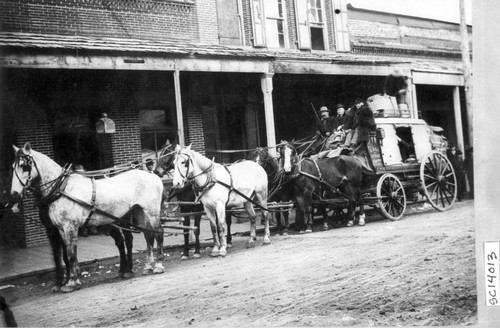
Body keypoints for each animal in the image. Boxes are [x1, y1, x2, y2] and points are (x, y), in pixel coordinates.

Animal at [10, 144, 165, 292]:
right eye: (12, 167)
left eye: (24, 166)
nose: (14, 194)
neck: (62, 189)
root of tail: (153, 176)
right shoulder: (59, 229)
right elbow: (66, 255)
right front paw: (70, 280)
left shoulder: (70, 227)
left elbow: (71, 254)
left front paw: (71, 283)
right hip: (139, 213)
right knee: (147, 236)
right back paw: (147, 267)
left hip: (151, 213)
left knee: (157, 233)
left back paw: (158, 265)